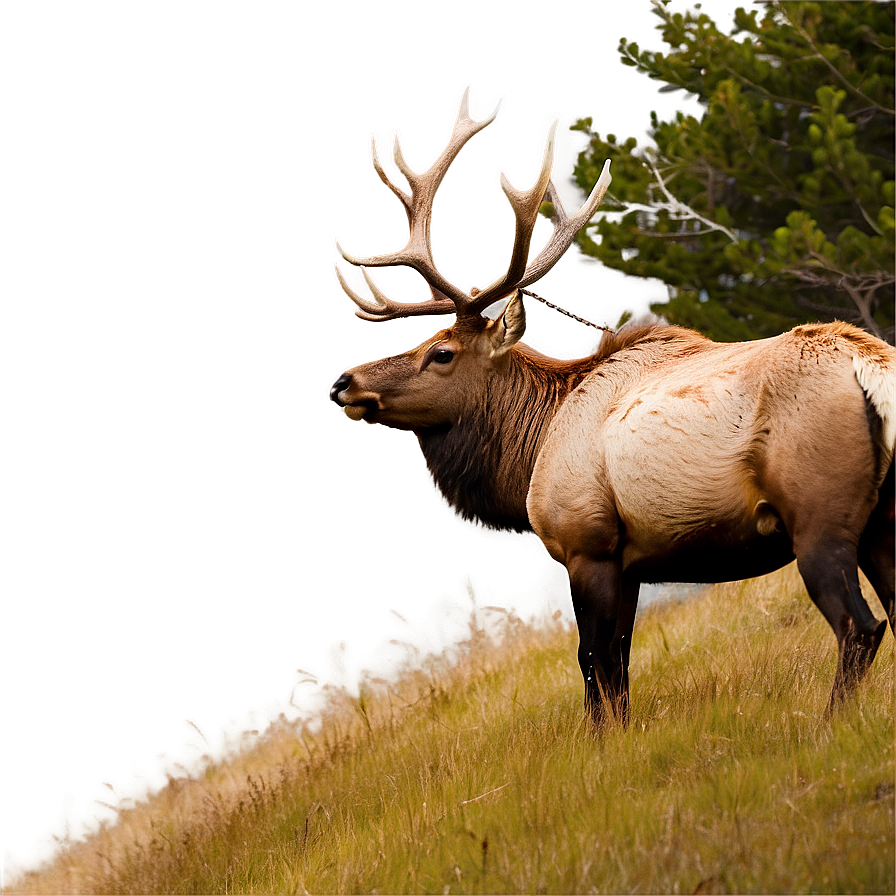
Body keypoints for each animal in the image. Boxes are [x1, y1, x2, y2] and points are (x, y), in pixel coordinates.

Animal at [330, 86, 896, 728]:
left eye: (441, 352)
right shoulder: (631, 561)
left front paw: (602, 743)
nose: (345, 381)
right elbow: (619, 667)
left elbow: (594, 663)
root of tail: (872, 366)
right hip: (883, 514)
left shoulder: (588, 543)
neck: (531, 451)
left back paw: (827, 726)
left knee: (859, 624)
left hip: (818, 510)